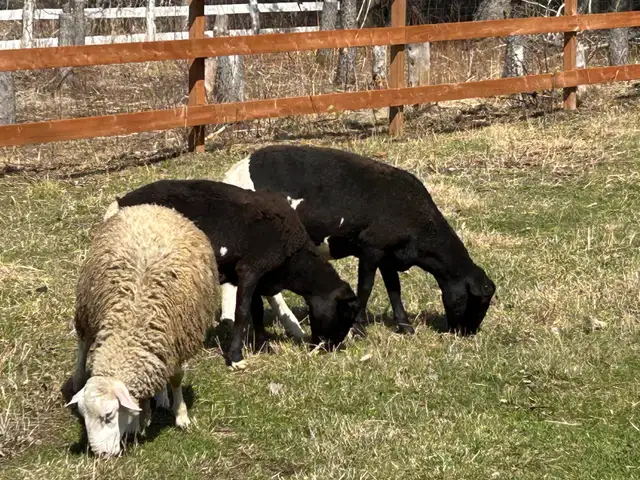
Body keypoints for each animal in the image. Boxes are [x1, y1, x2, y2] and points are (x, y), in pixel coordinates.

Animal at [66, 204, 220, 457]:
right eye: (83, 417)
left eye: (109, 415)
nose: (101, 455)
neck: (132, 328)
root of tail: (150, 207)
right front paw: (142, 419)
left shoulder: (174, 343)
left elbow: (176, 378)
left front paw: (180, 415)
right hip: (86, 306)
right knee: (83, 342)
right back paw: (79, 376)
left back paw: (163, 398)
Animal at [112, 179, 360, 369]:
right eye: (345, 313)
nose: (330, 348)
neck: (293, 260)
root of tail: (119, 204)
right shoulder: (251, 268)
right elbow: (242, 313)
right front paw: (236, 358)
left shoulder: (255, 276)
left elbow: (257, 309)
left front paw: (263, 345)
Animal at [222, 145, 496, 335]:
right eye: (479, 301)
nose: (468, 334)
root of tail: (232, 175)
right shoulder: (371, 248)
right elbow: (366, 287)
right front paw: (358, 327)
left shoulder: (388, 253)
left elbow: (394, 289)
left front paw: (405, 326)